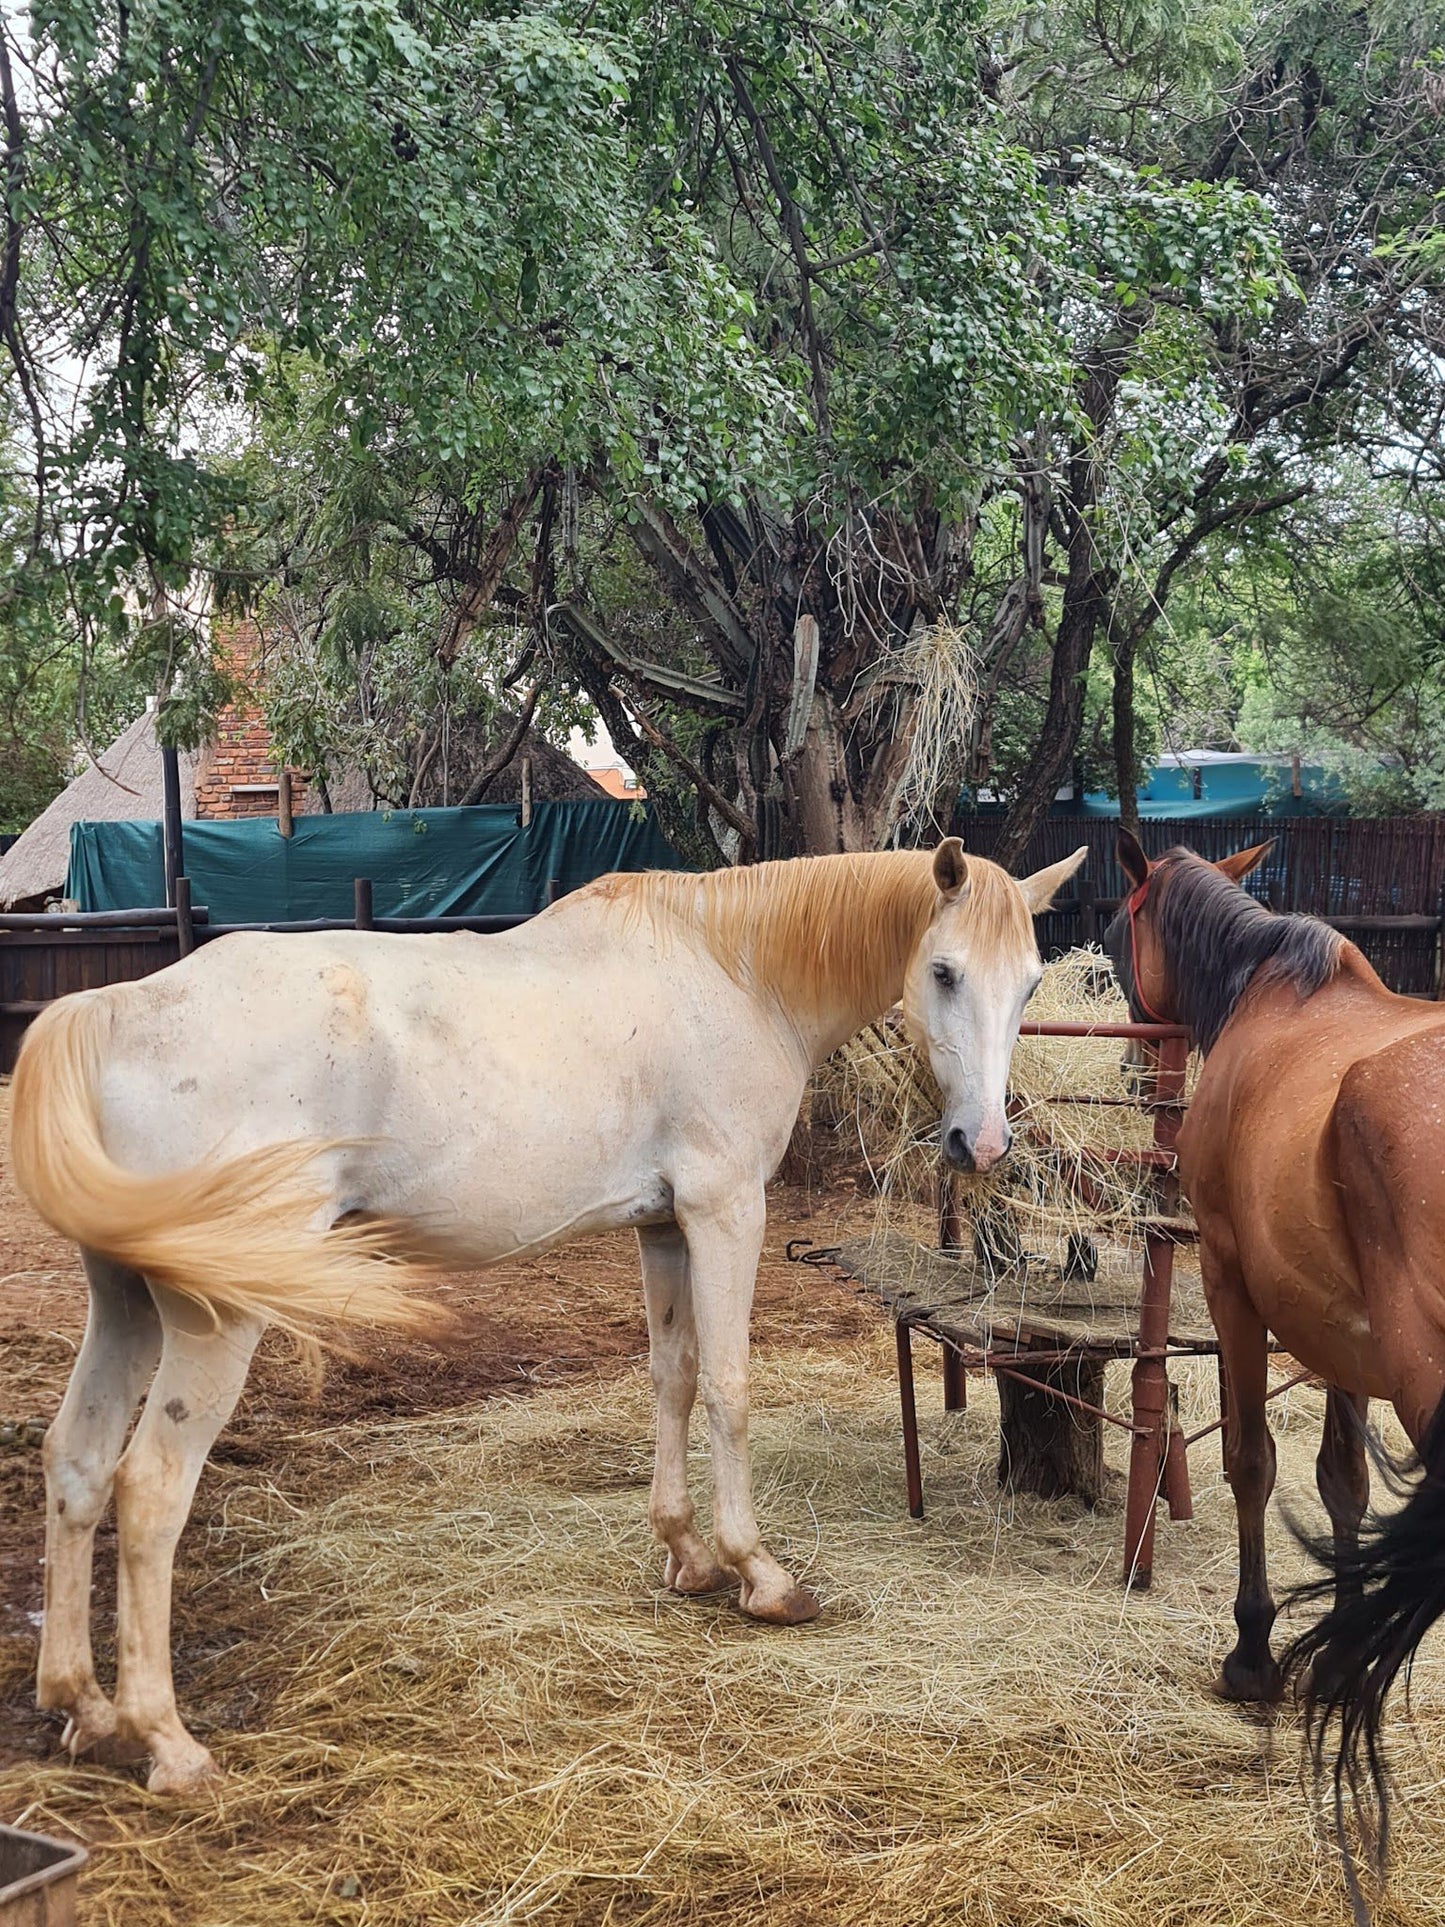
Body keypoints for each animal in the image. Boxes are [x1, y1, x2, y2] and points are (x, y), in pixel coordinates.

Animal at [8, 836, 1078, 1795]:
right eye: (942, 970)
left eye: (1028, 982)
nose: (981, 1144)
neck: (732, 969)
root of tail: (115, 1008)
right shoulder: (725, 1209)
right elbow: (729, 1388)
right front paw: (759, 1574)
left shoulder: (663, 1227)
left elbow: (673, 1378)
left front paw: (685, 1553)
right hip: (213, 1315)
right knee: (150, 1488)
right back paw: (168, 1742)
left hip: (127, 1300)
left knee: (78, 1461)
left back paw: (82, 1705)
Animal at [1102, 832, 1445, 1880]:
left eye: (1121, 928)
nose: (1136, 1055)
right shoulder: (1345, 1332)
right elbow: (1342, 1482)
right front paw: (1336, 1643)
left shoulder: (1232, 1286)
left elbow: (1252, 1461)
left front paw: (1253, 1652)